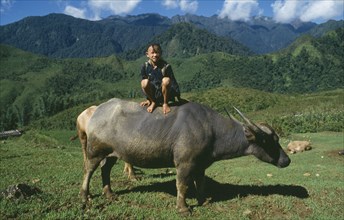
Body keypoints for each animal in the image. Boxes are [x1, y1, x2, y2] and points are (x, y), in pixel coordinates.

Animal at [81, 99, 290, 214]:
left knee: (105, 170)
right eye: (269, 141)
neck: (211, 130)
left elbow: (200, 182)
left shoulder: (200, 164)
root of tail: (97, 110)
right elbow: (182, 185)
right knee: (89, 170)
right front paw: (183, 208)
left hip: (111, 154)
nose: (286, 160)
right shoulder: (184, 163)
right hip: (94, 150)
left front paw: (203, 200)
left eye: (277, 139)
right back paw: (85, 195)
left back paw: (109, 194)